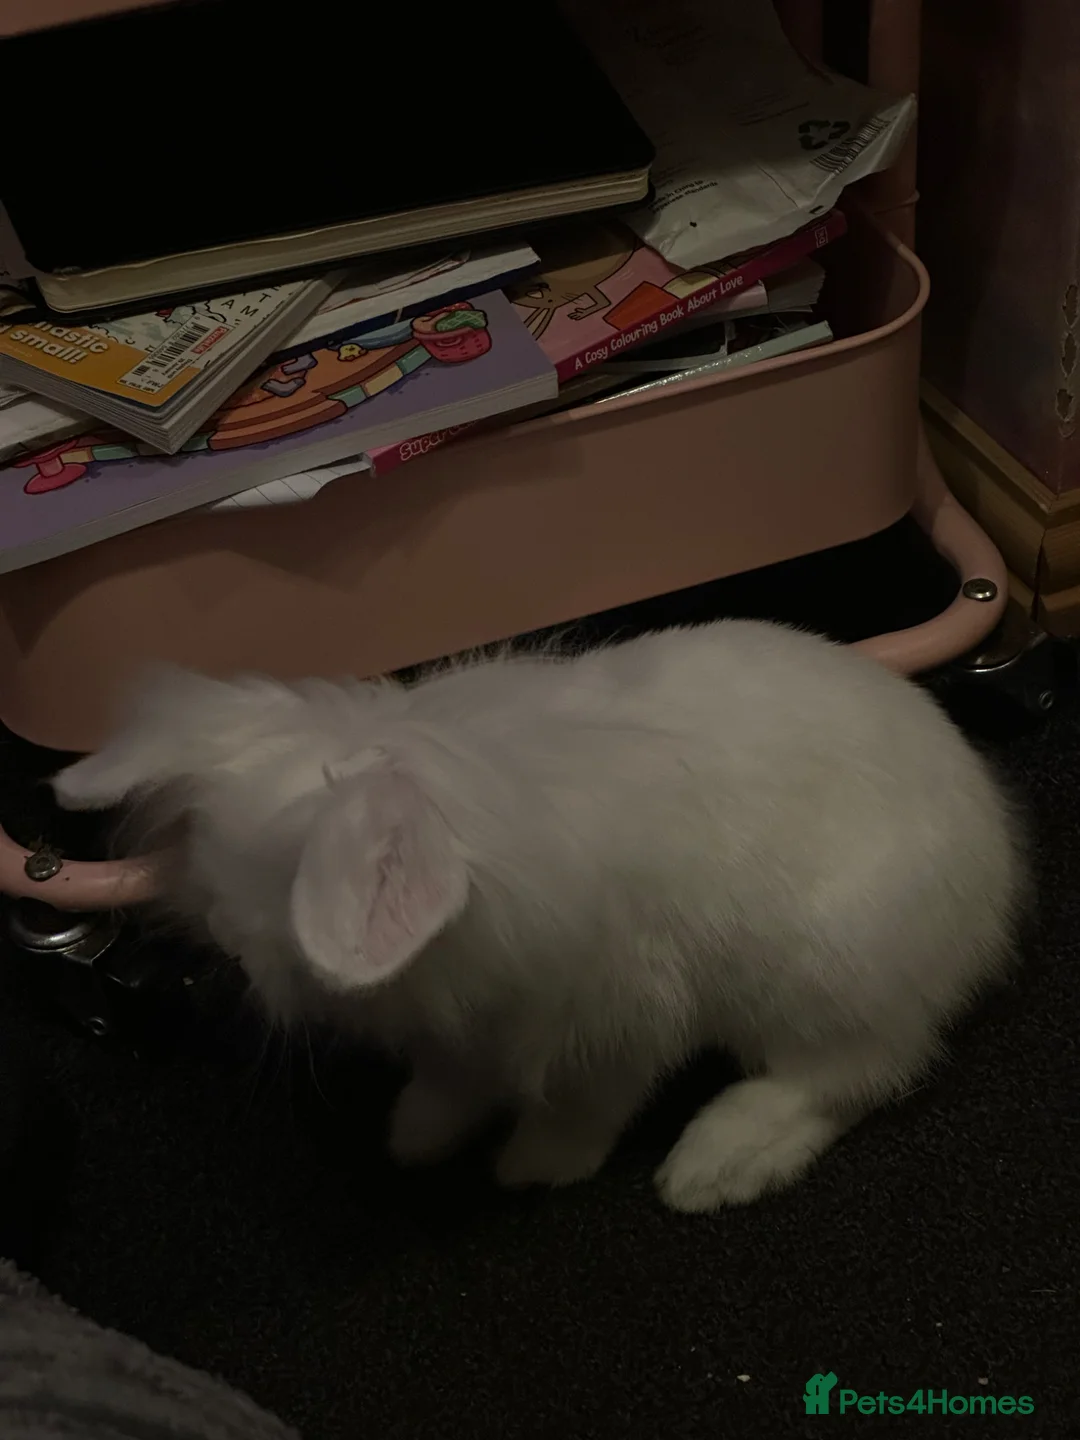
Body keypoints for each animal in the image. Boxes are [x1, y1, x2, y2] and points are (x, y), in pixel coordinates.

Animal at [53, 620, 1027, 1211]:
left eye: (281, 896)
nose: (229, 946)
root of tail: (996, 883)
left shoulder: (618, 1020)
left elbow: (585, 1107)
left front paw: (531, 1169)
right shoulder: (471, 1029)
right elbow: (452, 1082)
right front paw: (416, 1137)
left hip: (825, 974)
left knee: (856, 1073)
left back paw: (715, 1165)